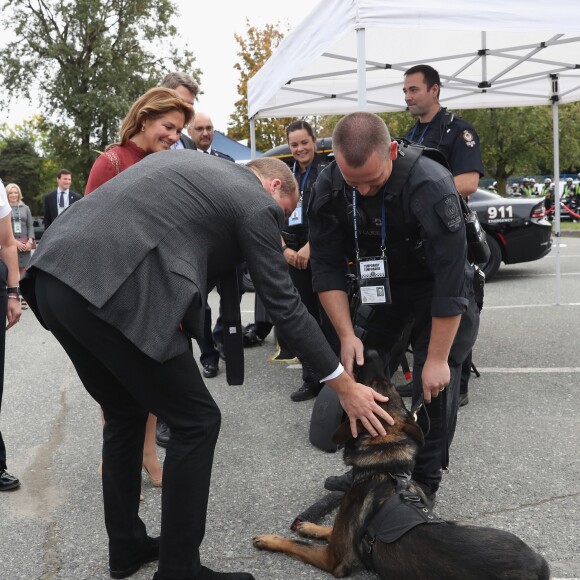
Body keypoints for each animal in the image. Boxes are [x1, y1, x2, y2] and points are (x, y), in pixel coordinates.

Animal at [253, 352, 548, 576]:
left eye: (369, 386)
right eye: (388, 387)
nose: (371, 353)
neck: (385, 466)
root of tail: (538, 566)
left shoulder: (334, 559)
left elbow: (294, 544)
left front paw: (270, 539)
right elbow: (328, 528)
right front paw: (310, 526)